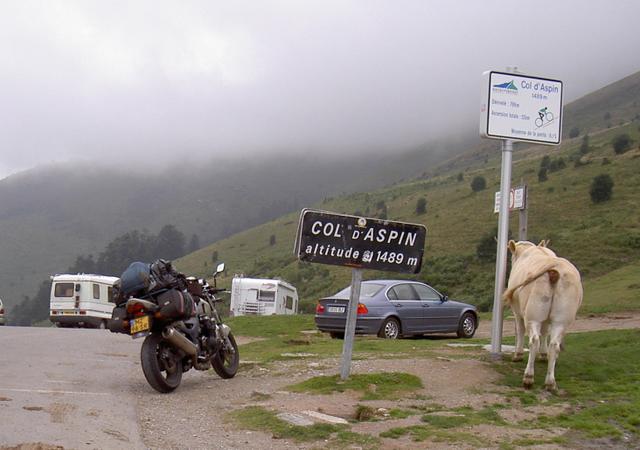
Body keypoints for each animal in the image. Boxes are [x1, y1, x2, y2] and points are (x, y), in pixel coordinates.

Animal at [502, 239, 584, 390]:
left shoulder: (517, 311)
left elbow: (520, 330)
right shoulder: (546, 319)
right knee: (554, 344)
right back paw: (550, 381)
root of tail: (556, 266)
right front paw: (543, 354)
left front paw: (518, 354)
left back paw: (528, 377)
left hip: (532, 315)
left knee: (534, 340)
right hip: (561, 319)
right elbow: (545, 331)